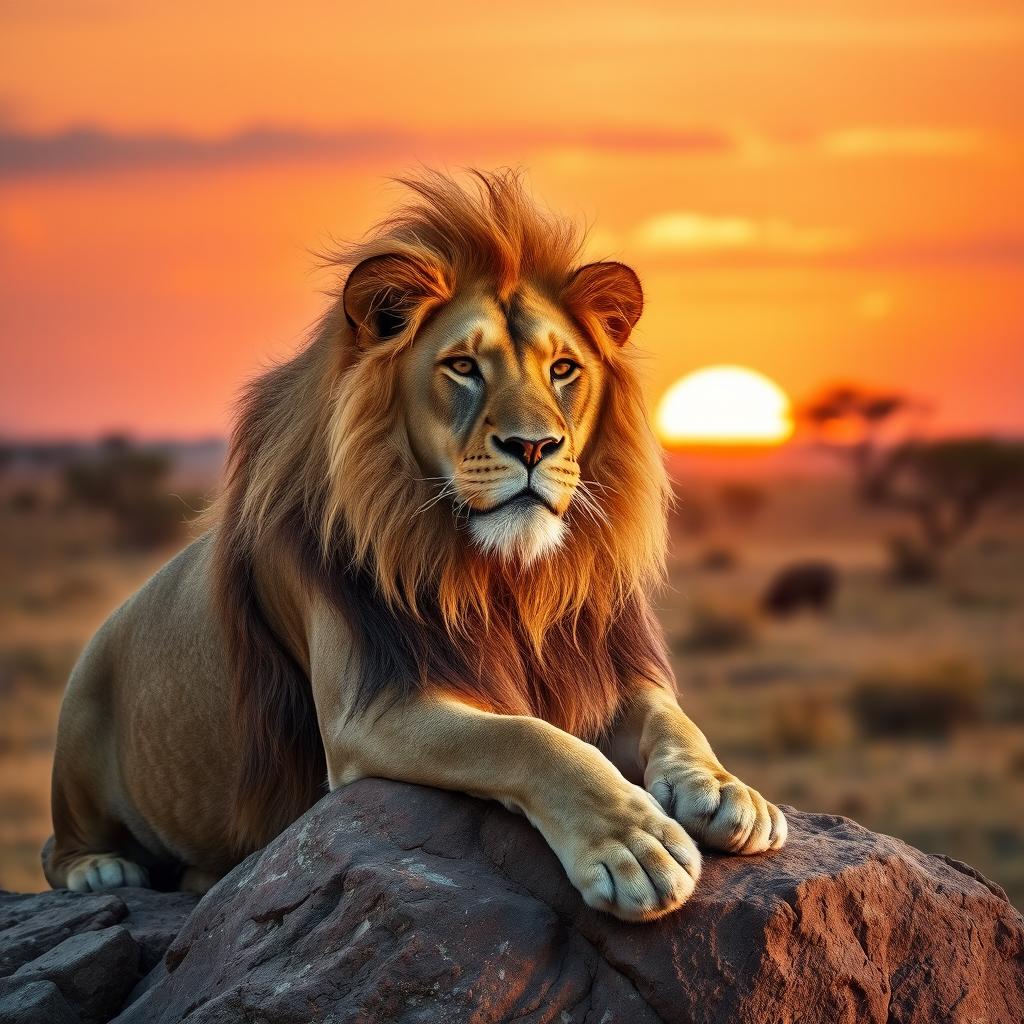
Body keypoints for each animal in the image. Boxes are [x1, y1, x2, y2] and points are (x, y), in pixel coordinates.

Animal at [46, 170, 786, 921]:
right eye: (462, 366)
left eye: (563, 369)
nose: (534, 447)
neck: (506, 578)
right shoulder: (367, 712)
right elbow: (524, 737)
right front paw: (634, 843)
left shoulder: (603, 669)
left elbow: (674, 719)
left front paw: (727, 790)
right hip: (78, 713)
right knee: (59, 848)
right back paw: (101, 871)